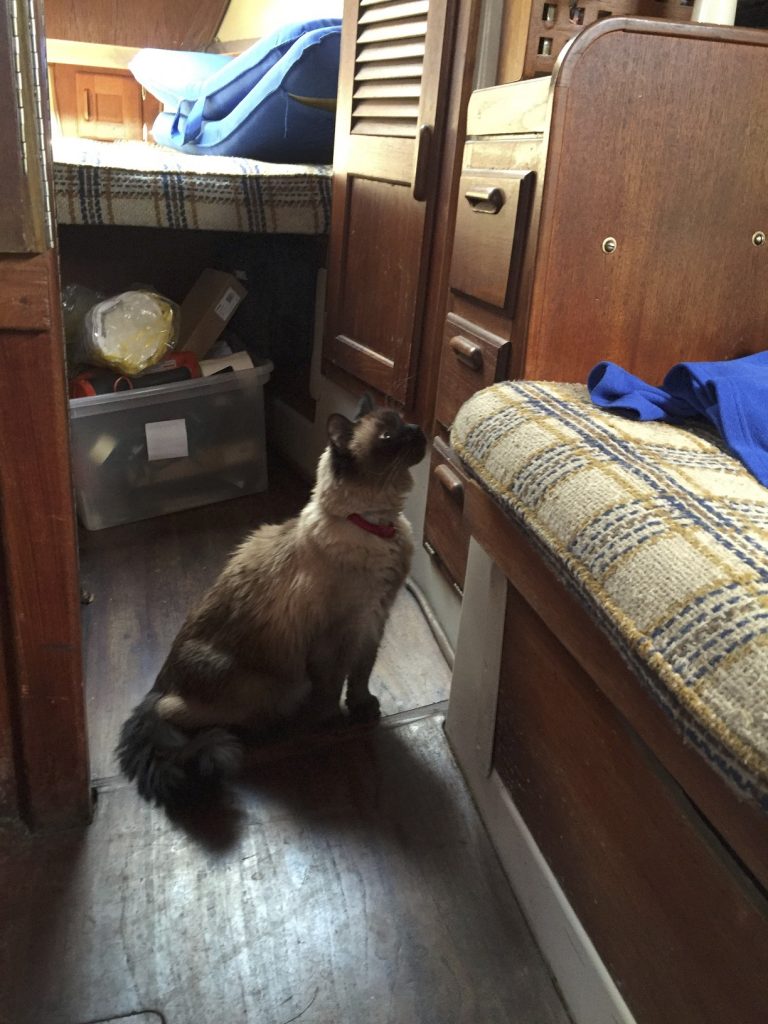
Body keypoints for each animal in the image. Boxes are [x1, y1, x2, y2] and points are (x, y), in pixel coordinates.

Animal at [116, 395, 428, 802]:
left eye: (404, 422)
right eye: (389, 437)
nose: (419, 429)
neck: (377, 526)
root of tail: (158, 684)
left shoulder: (373, 621)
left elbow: (360, 676)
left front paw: (363, 710)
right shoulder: (335, 638)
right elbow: (332, 688)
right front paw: (332, 723)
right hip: (275, 686)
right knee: (174, 714)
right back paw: (262, 729)